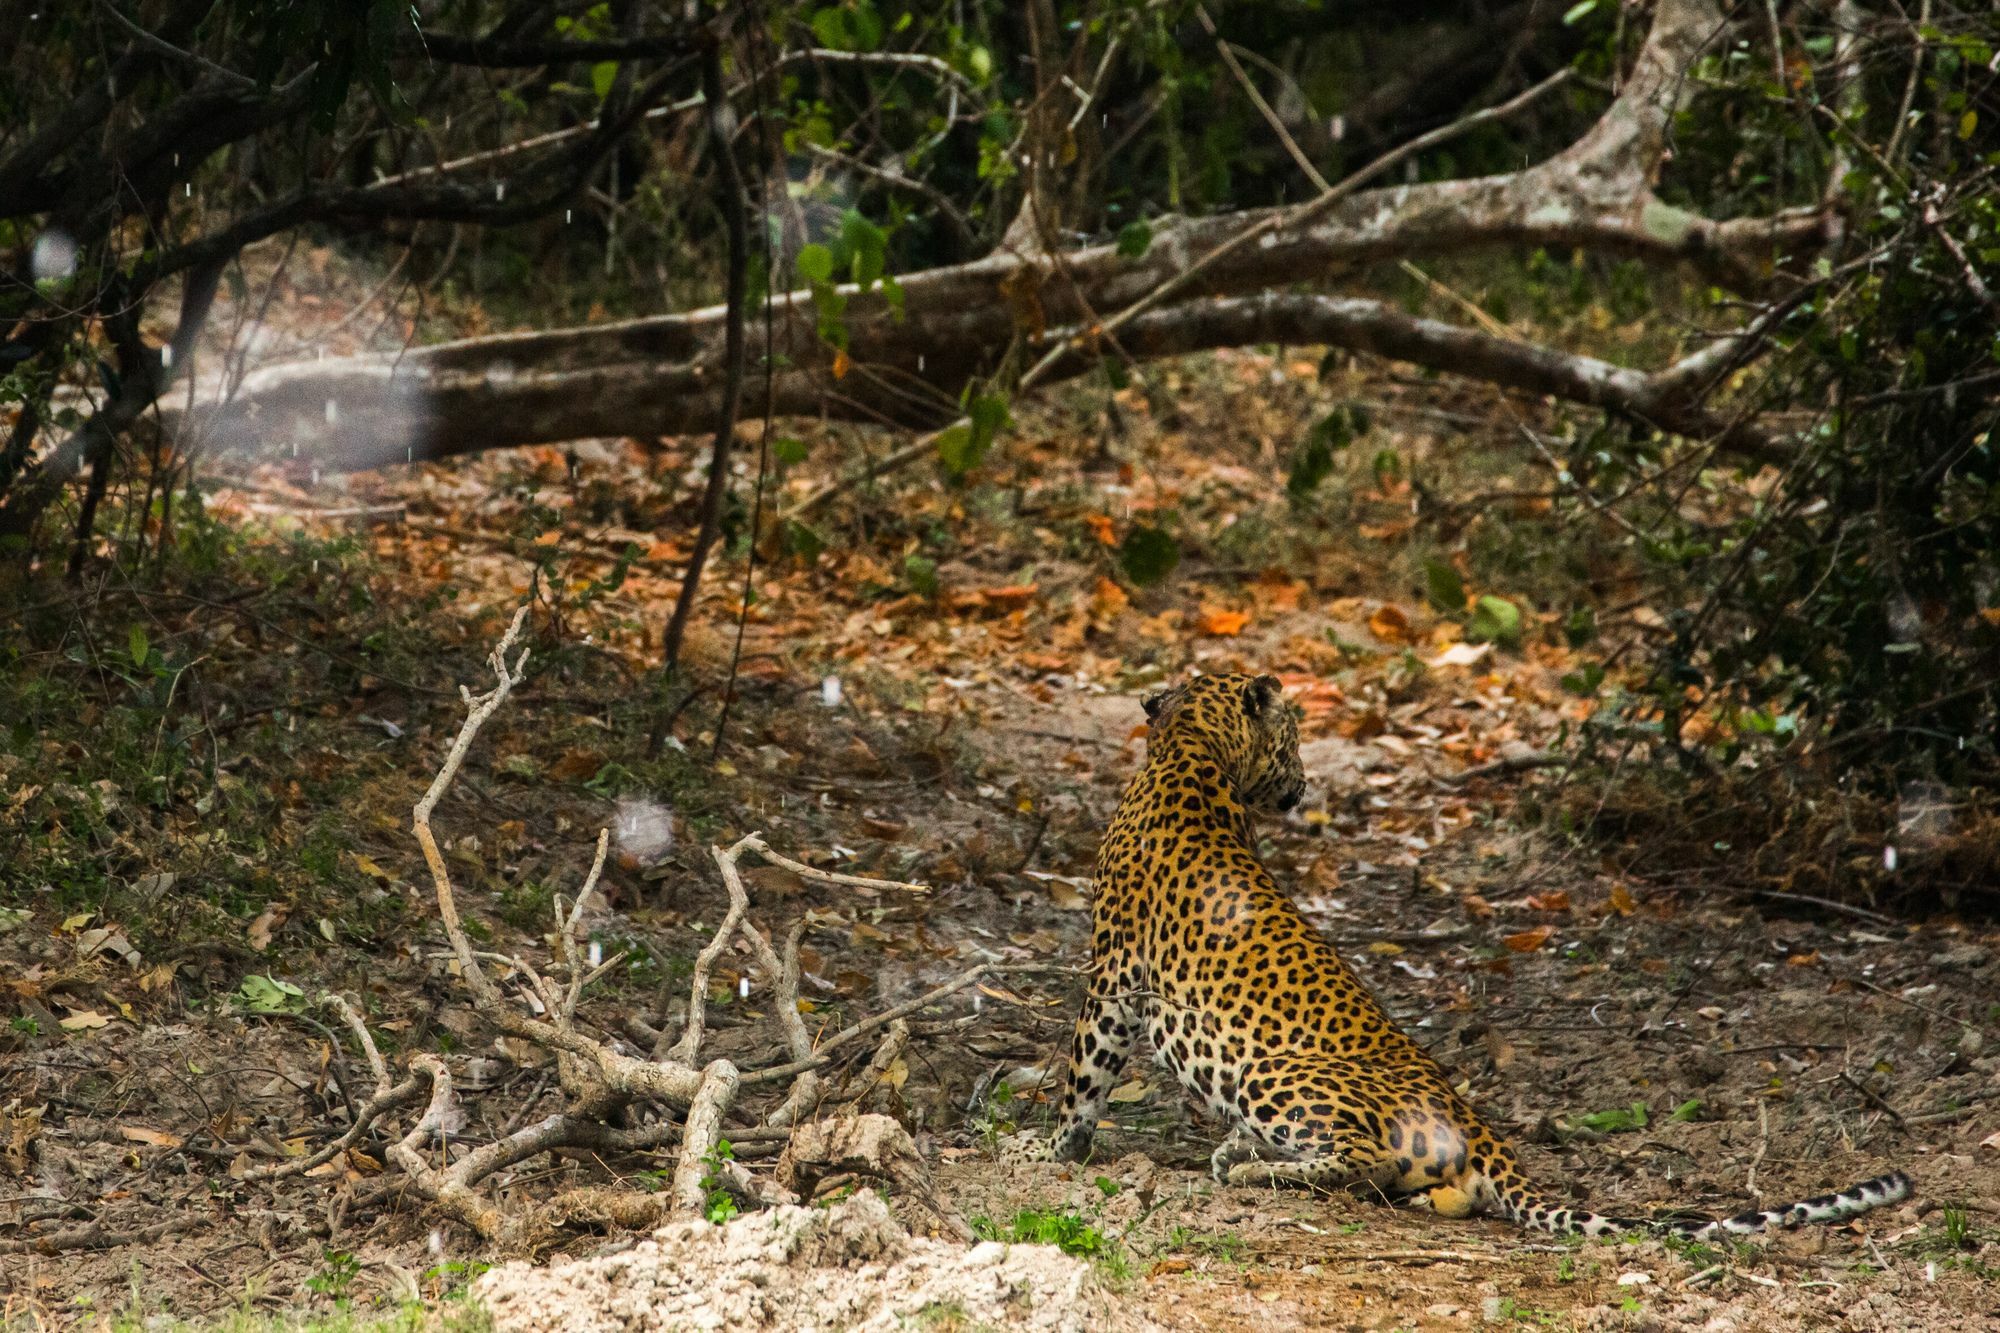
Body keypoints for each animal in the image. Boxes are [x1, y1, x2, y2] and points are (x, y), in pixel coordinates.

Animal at [1040, 676, 1912, 1232]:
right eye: (1292, 736)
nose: (1303, 782)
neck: (1189, 748)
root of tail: (1472, 1114)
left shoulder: (1111, 979)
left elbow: (1083, 1076)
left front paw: (1050, 1151)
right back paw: (1248, 1153)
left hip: (1273, 1071)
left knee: (1356, 1162)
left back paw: (1245, 1164)